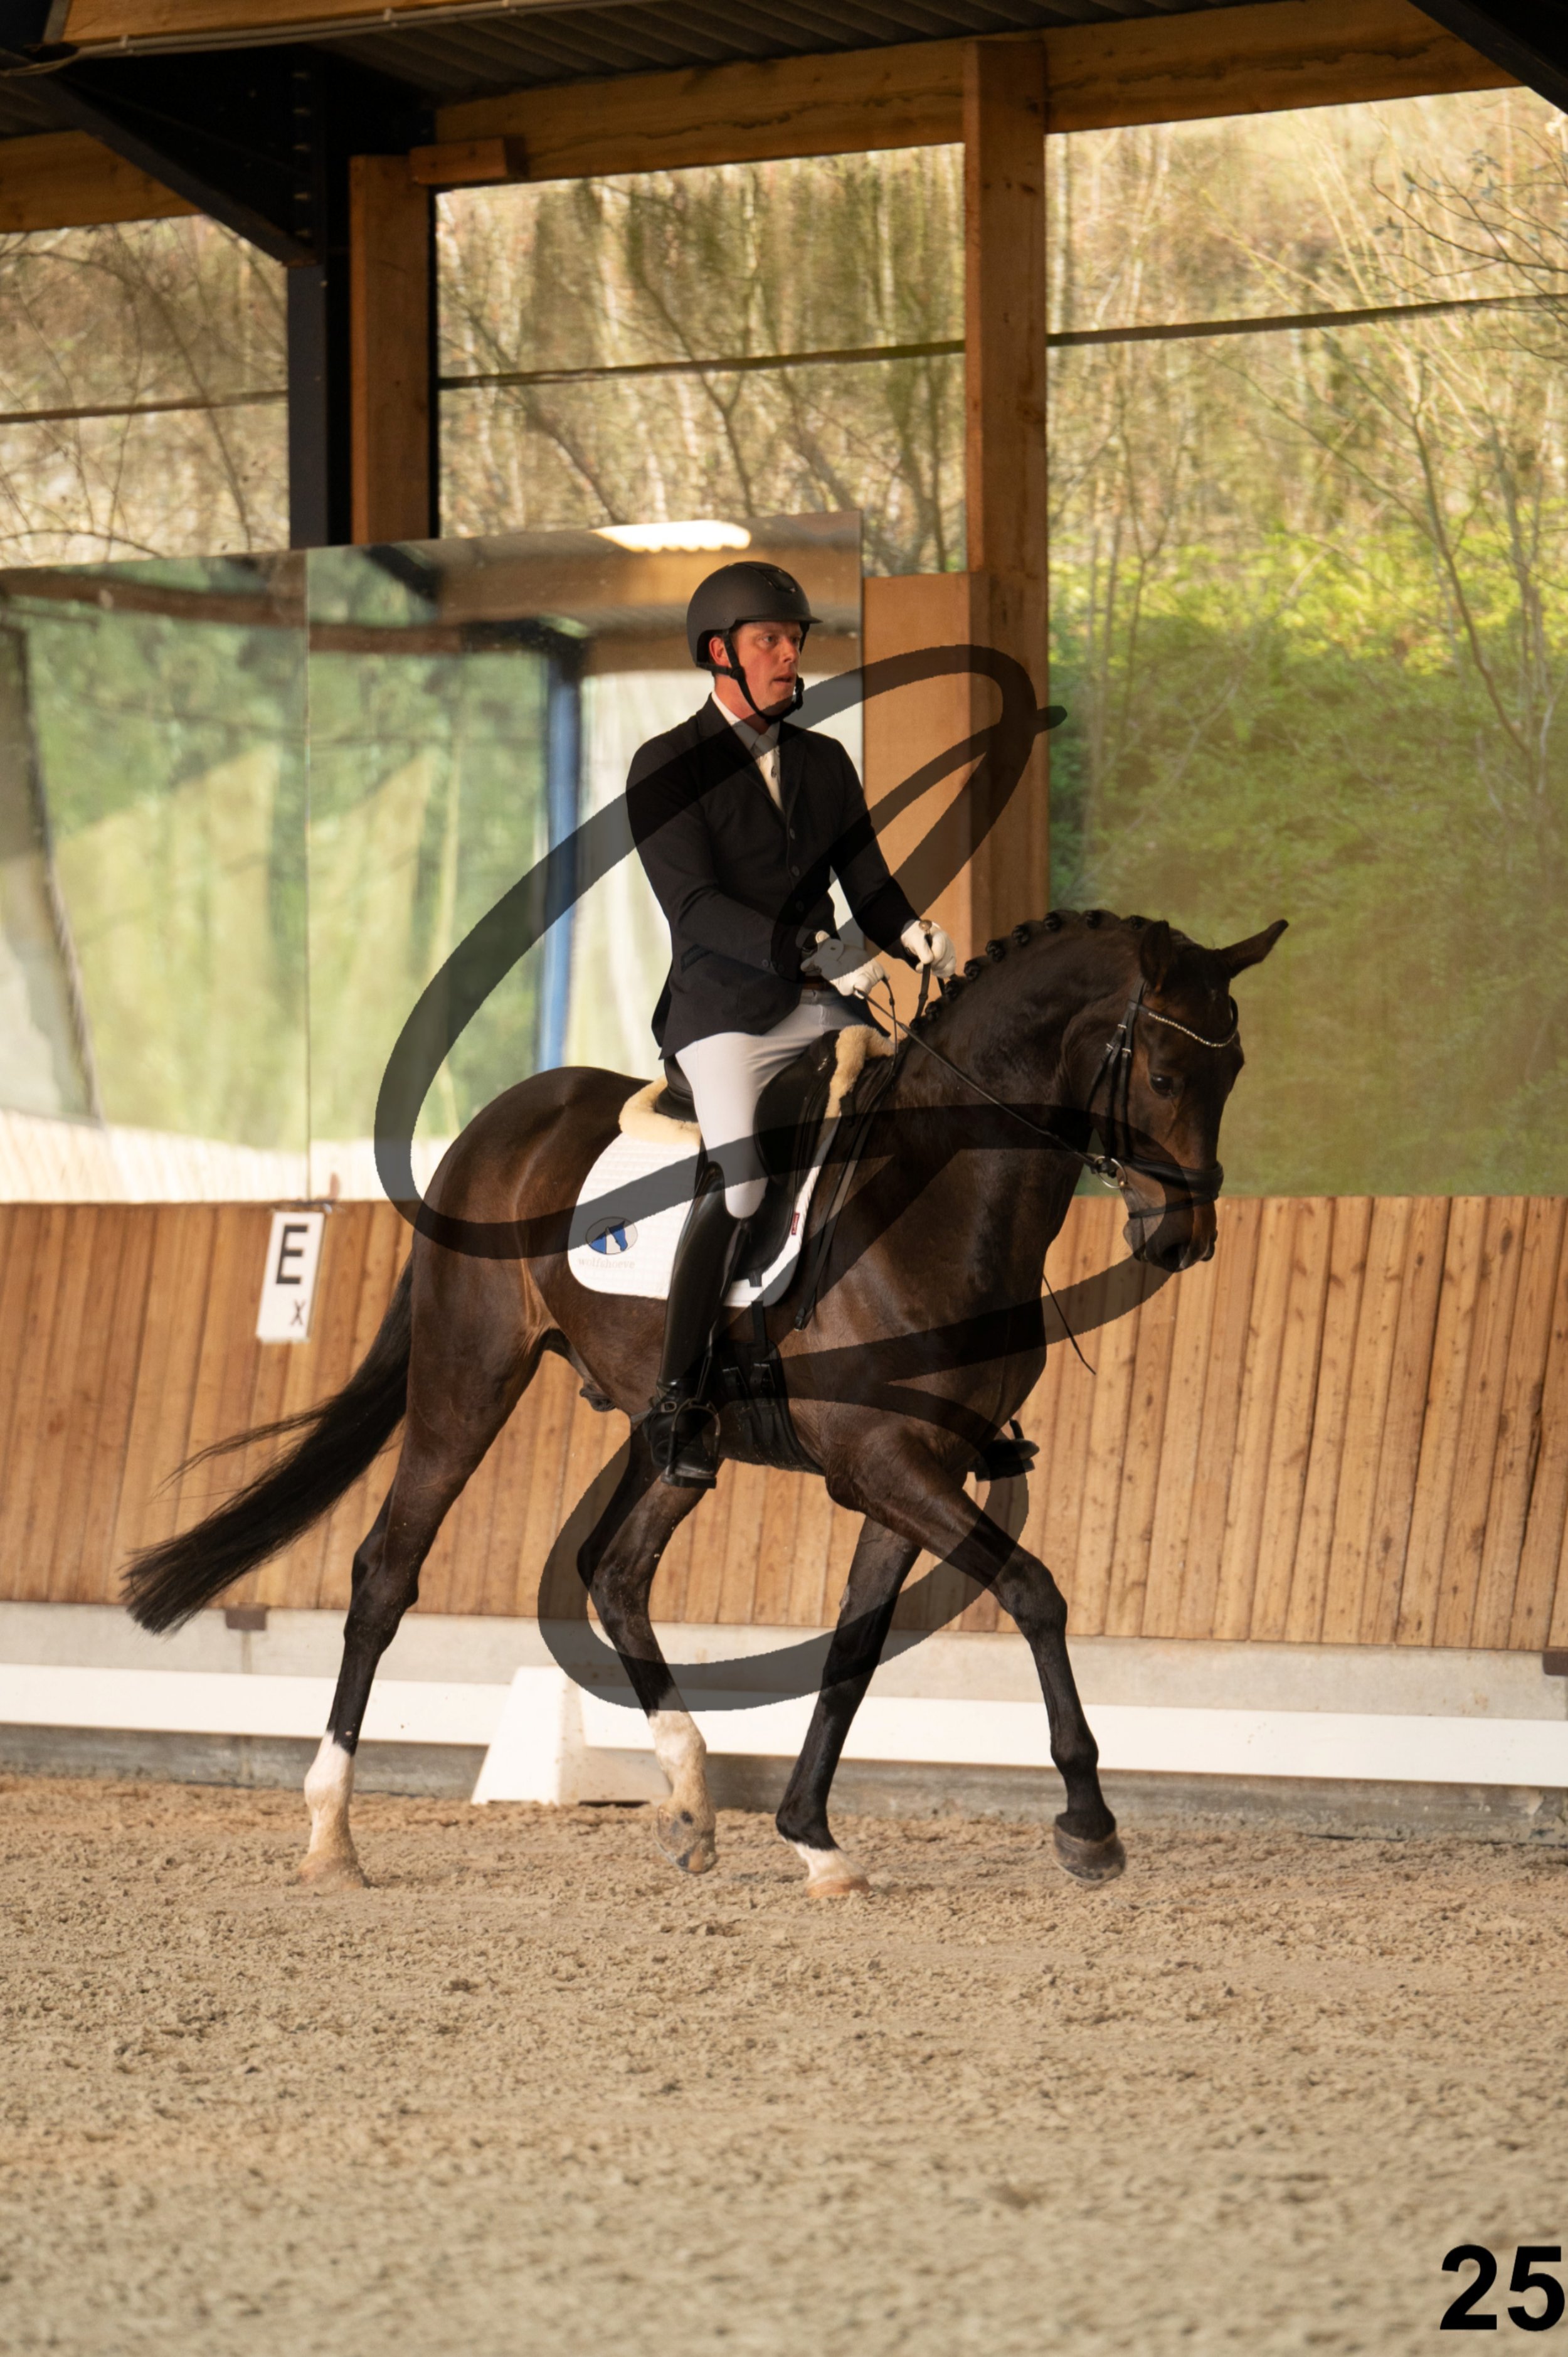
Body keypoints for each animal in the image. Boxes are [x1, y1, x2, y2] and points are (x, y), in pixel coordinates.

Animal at [123, 907, 1285, 1897]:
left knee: (615, 1573)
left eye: (1235, 1070)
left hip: (672, 1432)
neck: (934, 1194)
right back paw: (331, 1835)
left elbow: (854, 1649)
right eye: (1167, 1071)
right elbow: (1036, 1592)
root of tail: (499, 1123)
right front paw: (1090, 1824)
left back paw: (689, 1800)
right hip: (468, 1376)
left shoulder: (920, 1468)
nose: (1182, 1238)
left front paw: (814, 1839)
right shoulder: (887, 1462)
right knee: (385, 1573)